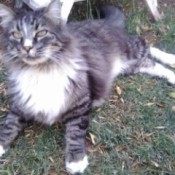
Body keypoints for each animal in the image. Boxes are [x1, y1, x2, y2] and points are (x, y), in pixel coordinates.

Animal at [0, 0, 175, 174]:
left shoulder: (80, 104)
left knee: (147, 45)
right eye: (16, 35)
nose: (27, 47)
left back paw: (171, 62)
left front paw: (76, 161)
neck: (40, 70)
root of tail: (103, 22)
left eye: (42, 32)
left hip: (131, 49)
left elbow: (75, 133)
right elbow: (8, 126)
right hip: (128, 66)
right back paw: (171, 76)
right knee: (150, 63)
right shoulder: (18, 107)